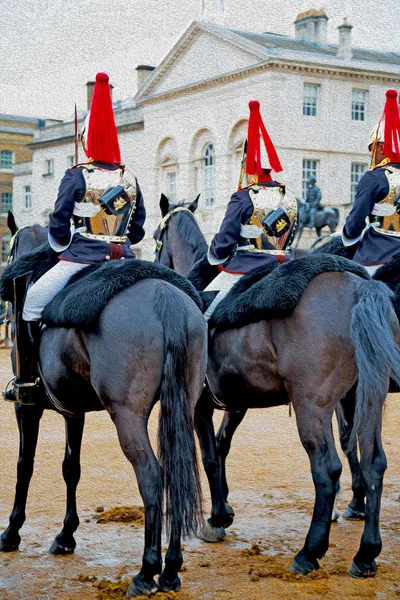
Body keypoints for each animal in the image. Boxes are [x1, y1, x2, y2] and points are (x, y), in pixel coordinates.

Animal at [3, 214, 208, 596]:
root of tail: (166, 297)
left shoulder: (28, 407)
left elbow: (25, 466)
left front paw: (11, 532)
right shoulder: (74, 411)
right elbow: (71, 468)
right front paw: (65, 536)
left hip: (126, 416)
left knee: (151, 475)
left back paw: (147, 571)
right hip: (182, 408)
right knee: (175, 474)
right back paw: (171, 569)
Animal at [155, 199, 400, 580]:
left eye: (157, 236)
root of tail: (362, 287)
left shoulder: (199, 404)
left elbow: (209, 455)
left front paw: (217, 517)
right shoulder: (236, 402)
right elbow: (222, 448)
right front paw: (224, 506)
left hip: (313, 406)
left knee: (327, 469)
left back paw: (309, 551)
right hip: (363, 397)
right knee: (374, 461)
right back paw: (366, 553)